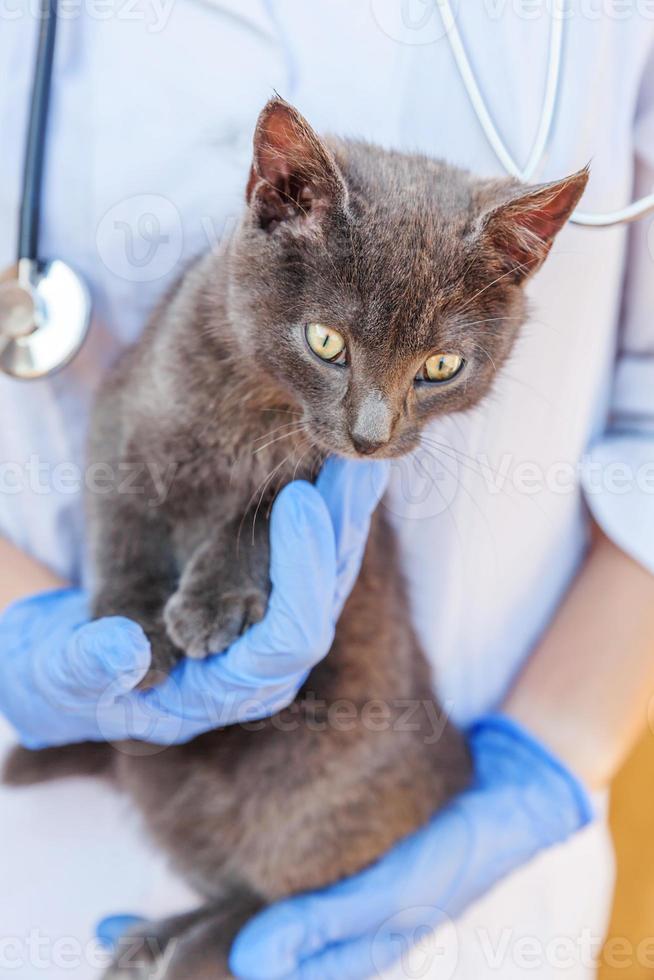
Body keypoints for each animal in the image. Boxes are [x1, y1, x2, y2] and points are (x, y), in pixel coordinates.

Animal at [5, 101, 588, 980]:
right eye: (326, 342)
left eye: (440, 367)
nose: (372, 436)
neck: (255, 415)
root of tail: (453, 771)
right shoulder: (125, 409)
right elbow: (125, 521)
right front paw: (133, 630)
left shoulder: (318, 477)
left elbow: (269, 505)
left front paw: (212, 602)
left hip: (316, 798)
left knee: (280, 895)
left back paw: (198, 944)